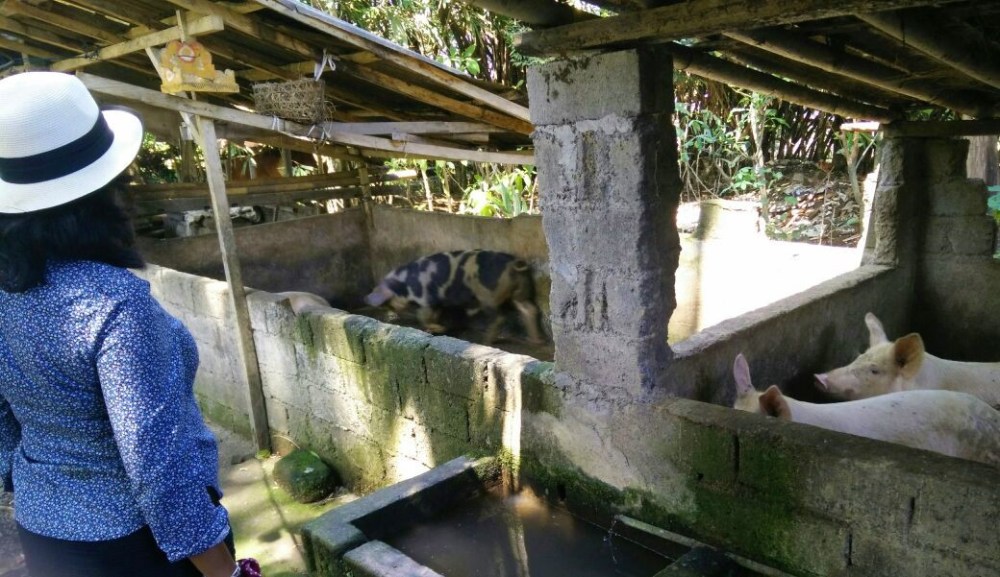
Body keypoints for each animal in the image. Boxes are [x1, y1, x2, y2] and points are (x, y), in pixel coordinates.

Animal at [364, 250, 544, 345]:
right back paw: (534, 340)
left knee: (499, 318)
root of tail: (513, 264)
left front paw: (438, 329)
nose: (397, 316)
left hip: (488, 296)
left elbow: (424, 316)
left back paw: (485, 342)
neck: (405, 284)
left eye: (389, 303)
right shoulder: (437, 303)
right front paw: (437, 328)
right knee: (529, 309)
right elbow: (434, 315)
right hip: (520, 291)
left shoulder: (426, 299)